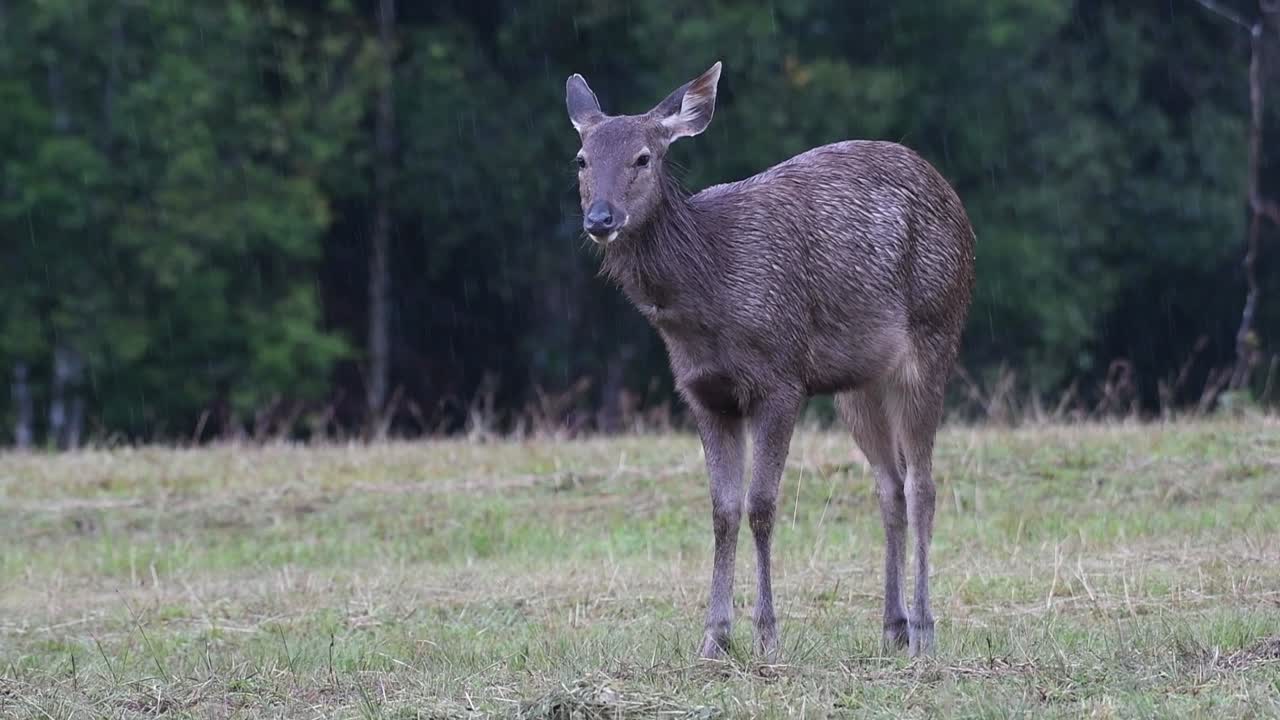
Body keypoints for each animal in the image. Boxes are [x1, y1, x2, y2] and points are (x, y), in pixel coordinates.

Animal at [564, 61, 975, 660]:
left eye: (643, 157)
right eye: (581, 158)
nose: (600, 218)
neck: (707, 292)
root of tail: (955, 201)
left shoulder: (781, 378)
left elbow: (761, 505)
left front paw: (767, 635)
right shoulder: (702, 392)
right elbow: (722, 510)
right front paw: (713, 638)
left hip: (935, 334)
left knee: (922, 486)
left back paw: (923, 630)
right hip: (858, 383)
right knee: (890, 487)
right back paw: (891, 626)